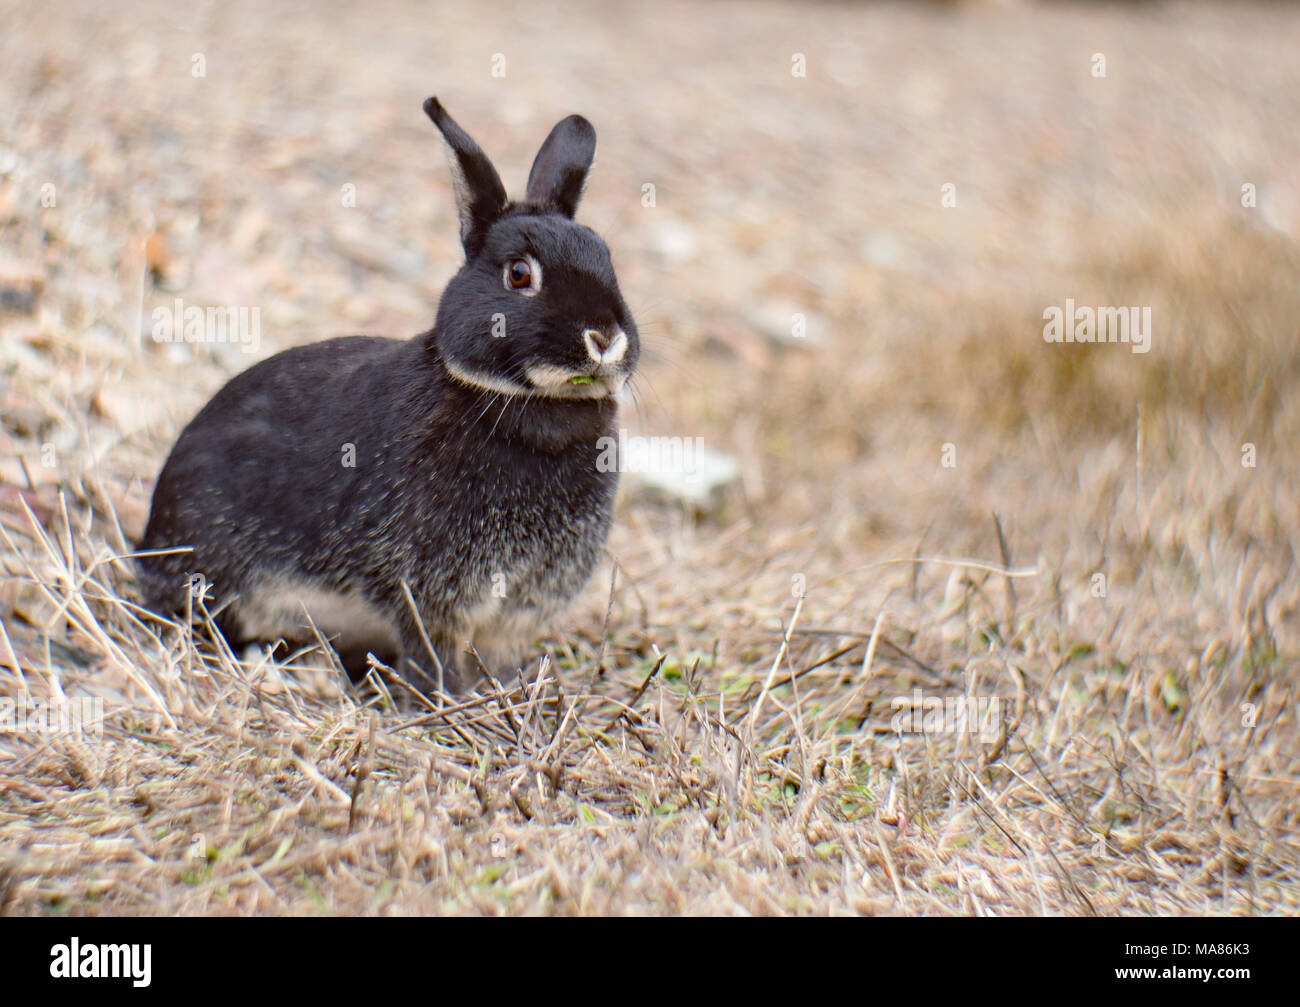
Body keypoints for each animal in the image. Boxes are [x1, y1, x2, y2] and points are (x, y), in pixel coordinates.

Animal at [137, 100, 639, 691]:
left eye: (606, 257)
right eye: (520, 274)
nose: (605, 337)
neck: (530, 404)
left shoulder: (519, 605)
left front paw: (503, 691)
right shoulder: (428, 588)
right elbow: (429, 647)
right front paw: (445, 700)